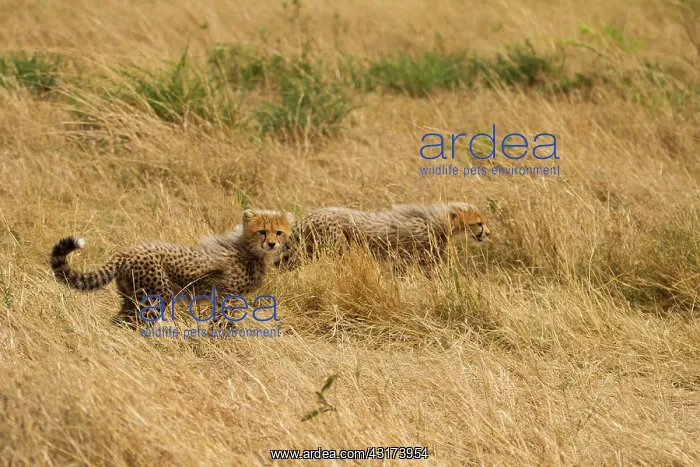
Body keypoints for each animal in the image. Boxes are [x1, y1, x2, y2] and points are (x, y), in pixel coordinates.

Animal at [51, 209, 294, 327]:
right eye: (262, 231)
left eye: (278, 232)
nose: (272, 244)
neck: (250, 250)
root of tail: (126, 252)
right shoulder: (226, 296)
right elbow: (223, 323)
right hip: (156, 296)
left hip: (133, 297)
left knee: (120, 321)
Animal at [276, 202, 490, 273]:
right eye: (479, 223)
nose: (487, 233)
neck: (439, 222)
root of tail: (308, 216)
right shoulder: (408, 258)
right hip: (334, 250)